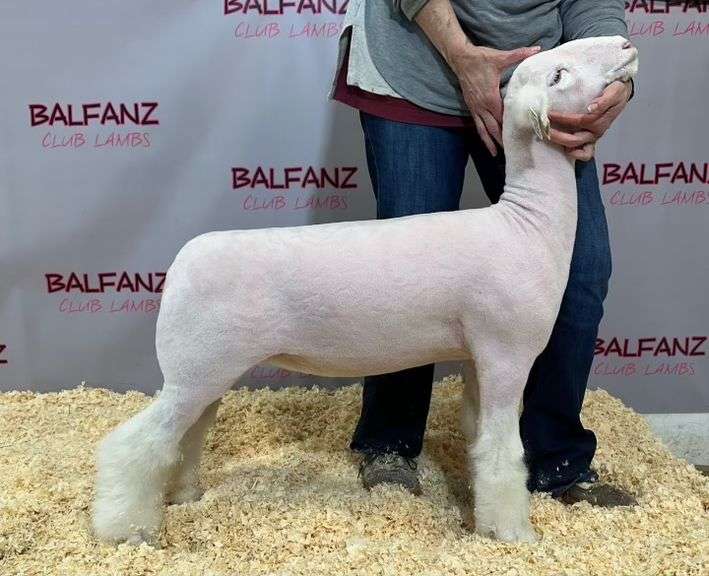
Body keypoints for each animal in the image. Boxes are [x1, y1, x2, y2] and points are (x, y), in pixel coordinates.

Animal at [91, 36, 639, 546]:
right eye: (559, 75)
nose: (625, 45)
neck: (526, 224)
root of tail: (181, 262)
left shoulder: (478, 356)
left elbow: (479, 438)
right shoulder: (508, 352)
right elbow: (503, 451)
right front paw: (512, 532)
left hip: (205, 371)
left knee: (185, 437)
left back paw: (183, 495)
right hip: (194, 369)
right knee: (134, 444)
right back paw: (125, 529)